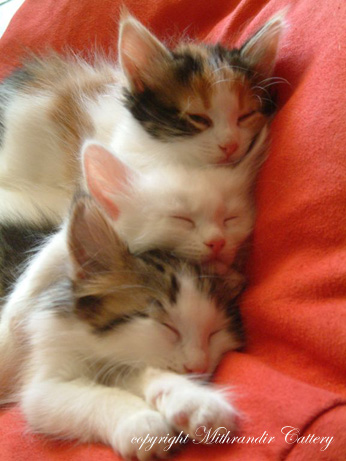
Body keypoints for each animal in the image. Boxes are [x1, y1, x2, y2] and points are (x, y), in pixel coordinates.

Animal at [0, 194, 243, 456]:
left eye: (214, 333)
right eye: (167, 326)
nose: (199, 367)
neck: (97, 346)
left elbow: (137, 369)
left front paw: (194, 399)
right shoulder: (44, 376)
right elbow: (91, 396)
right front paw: (140, 421)